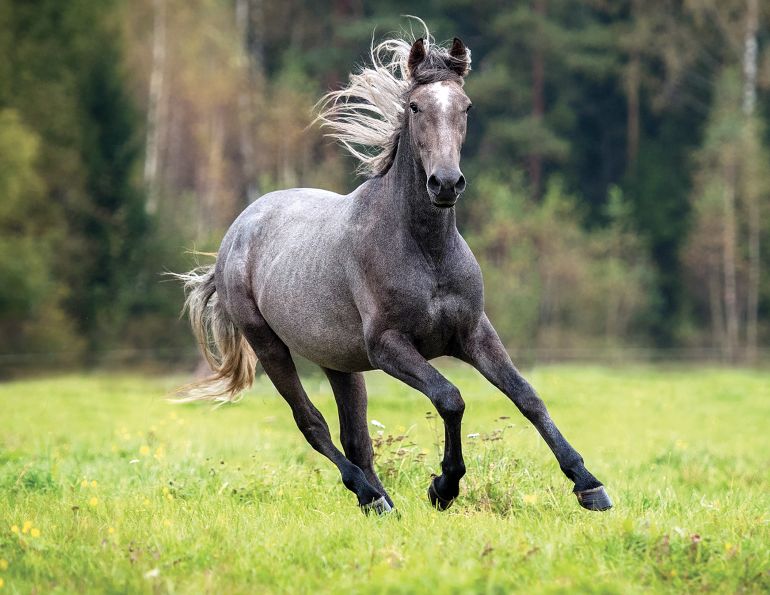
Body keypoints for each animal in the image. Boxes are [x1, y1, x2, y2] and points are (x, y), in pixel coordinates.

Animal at [174, 26, 612, 515]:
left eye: (466, 107)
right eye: (415, 106)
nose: (446, 183)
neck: (426, 252)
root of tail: (237, 231)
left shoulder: (475, 334)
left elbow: (527, 397)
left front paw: (588, 484)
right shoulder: (389, 347)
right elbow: (450, 398)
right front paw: (443, 487)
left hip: (338, 361)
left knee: (356, 438)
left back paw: (379, 502)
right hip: (270, 346)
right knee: (312, 424)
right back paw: (370, 495)